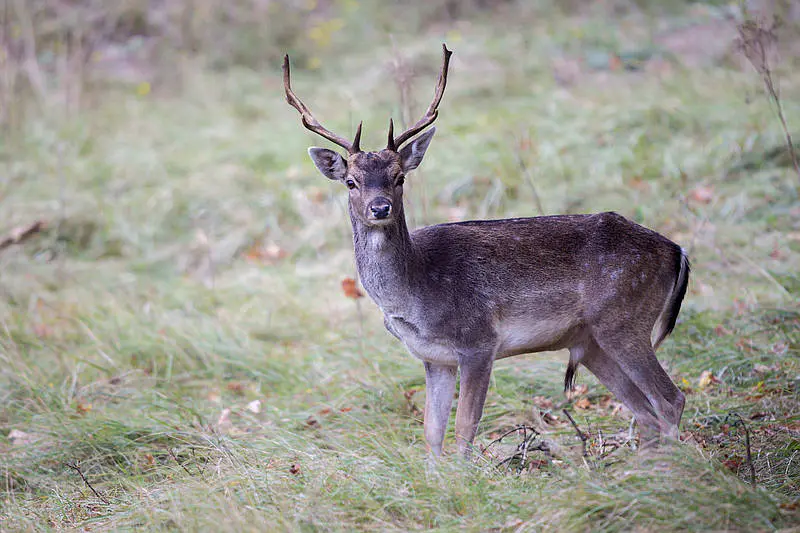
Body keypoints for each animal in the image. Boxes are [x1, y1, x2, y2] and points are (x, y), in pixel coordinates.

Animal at [283, 44, 690, 457]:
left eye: (399, 178)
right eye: (351, 181)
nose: (380, 208)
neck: (413, 293)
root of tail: (676, 251)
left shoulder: (478, 340)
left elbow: (464, 428)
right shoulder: (435, 358)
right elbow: (432, 432)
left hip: (623, 318)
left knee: (669, 399)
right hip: (589, 341)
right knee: (644, 411)